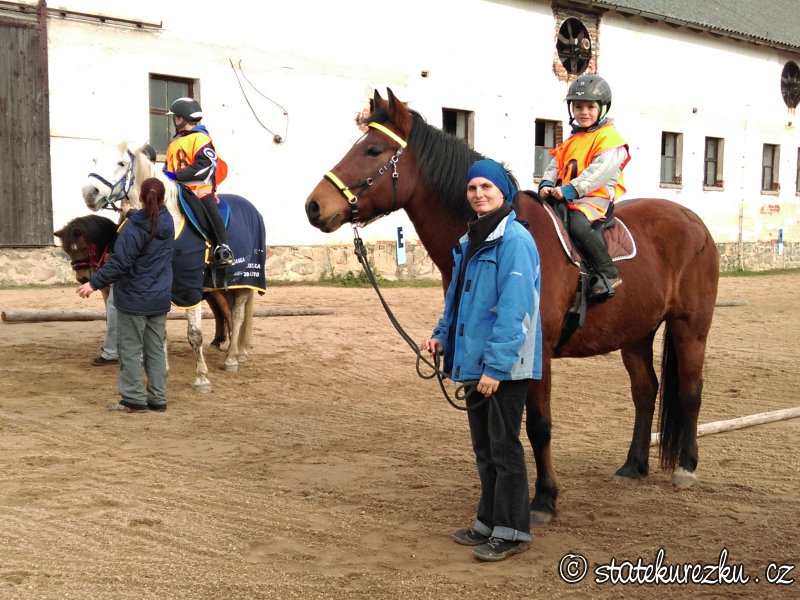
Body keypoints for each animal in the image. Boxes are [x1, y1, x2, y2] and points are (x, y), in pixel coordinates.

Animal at [83, 143, 268, 392]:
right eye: (94, 160)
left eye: (121, 163)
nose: (89, 192)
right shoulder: (160, 288)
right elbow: (160, 334)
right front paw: (161, 373)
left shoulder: (189, 287)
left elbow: (195, 335)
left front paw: (201, 378)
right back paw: (237, 353)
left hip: (245, 281)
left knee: (237, 316)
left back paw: (231, 358)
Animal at [304, 88, 720, 524]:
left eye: (372, 149)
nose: (314, 206)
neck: (503, 231)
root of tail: (693, 220)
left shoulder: (535, 353)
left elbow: (538, 425)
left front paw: (544, 500)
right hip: (636, 332)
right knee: (645, 390)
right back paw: (633, 465)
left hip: (690, 328)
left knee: (690, 390)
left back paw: (686, 467)